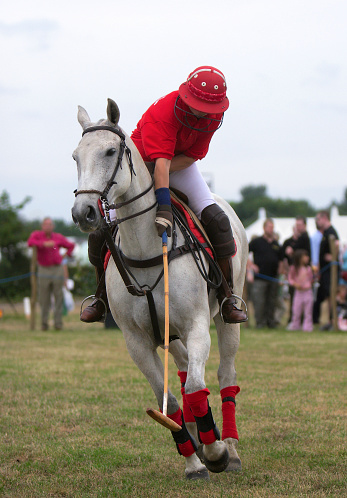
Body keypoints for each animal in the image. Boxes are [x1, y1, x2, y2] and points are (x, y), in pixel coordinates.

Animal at [72, 99, 249, 480]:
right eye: (75, 156)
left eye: (110, 151)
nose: (84, 212)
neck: (145, 249)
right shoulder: (137, 341)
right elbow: (168, 399)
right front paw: (193, 460)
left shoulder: (196, 326)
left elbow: (196, 387)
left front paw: (214, 453)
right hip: (169, 333)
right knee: (182, 369)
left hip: (228, 313)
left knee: (225, 374)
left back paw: (229, 448)